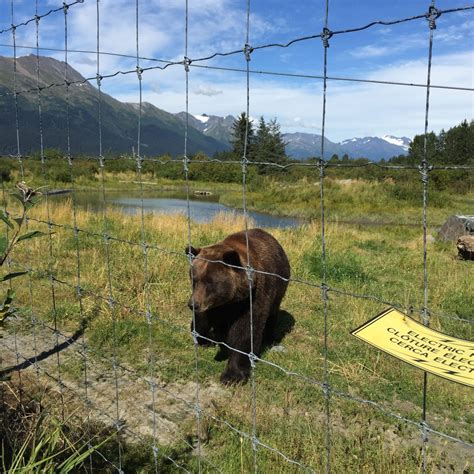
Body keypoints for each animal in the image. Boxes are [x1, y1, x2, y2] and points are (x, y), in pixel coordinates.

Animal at [186, 229, 290, 386]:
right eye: (194, 279)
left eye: (210, 282)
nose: (193, 305)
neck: (232, 300)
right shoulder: (213, 305)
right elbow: (202, 320)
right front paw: (202, 339)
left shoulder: (252, 299)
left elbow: (245, 332)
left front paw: (232, 376)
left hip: (278, 291)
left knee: (272, 316)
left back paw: (269, 339)